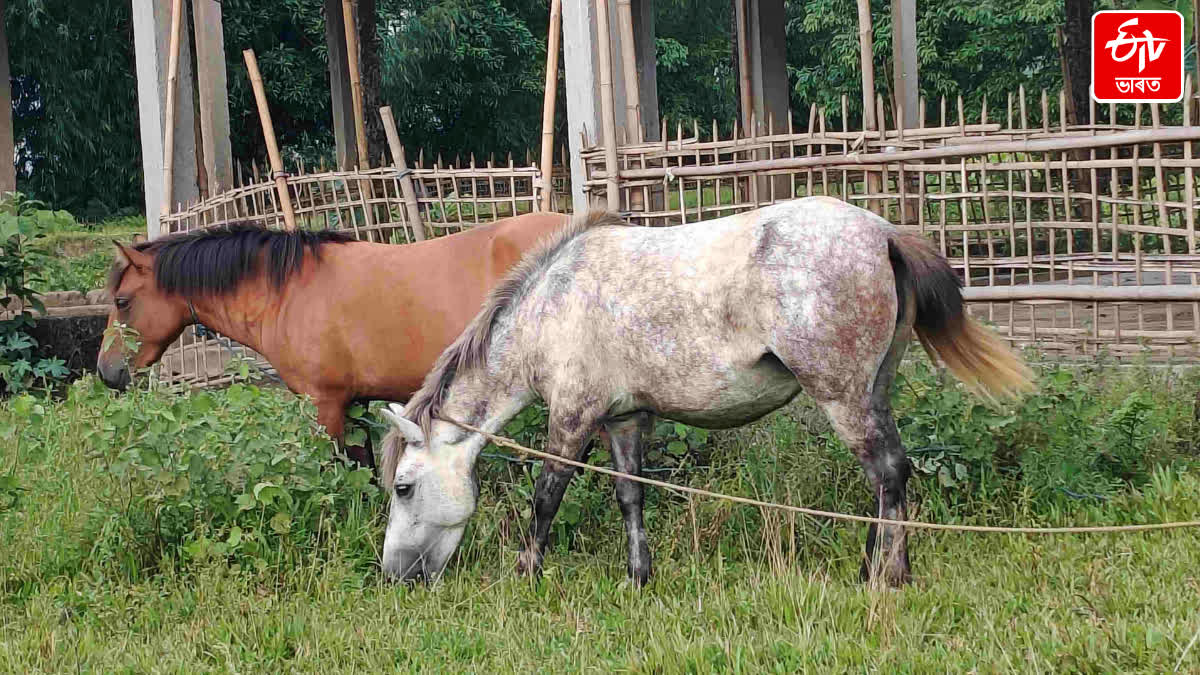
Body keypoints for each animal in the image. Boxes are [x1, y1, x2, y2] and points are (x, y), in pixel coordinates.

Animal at [376, 198, 1033, 586]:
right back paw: (876, 564)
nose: (394, 575)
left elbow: (546, 496)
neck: (552, 306)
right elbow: (630, 496)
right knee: (886, 478)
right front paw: (637, 577)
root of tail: (884, 233)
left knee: (889, 472)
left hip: (842, 397)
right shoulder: (623, 420)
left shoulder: (572, 418)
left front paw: (525, 572)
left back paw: (887, 576)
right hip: (874, 389)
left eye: (404, 487)